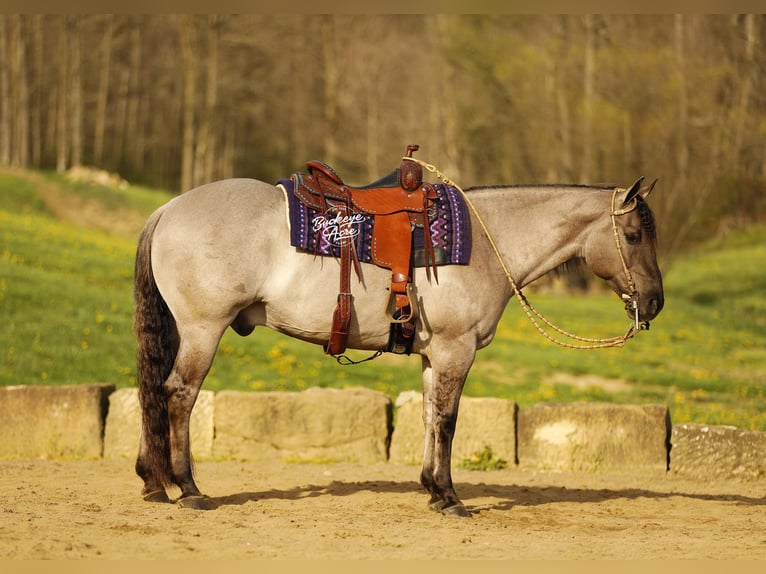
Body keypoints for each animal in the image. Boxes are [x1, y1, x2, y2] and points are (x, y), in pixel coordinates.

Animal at [133, 171, 664, 517]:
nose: (655, 302)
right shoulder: (455, 351)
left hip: (182, 330)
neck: (486, 243)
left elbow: (430, 417)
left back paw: (153, 482)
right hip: (203, 330)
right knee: (178, 393)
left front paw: (432, 488)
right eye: (634, 235)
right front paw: (450, 498)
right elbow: (447, 422)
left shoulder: (434, 356)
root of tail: (167, 209)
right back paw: (188, 487)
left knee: (154, 390)